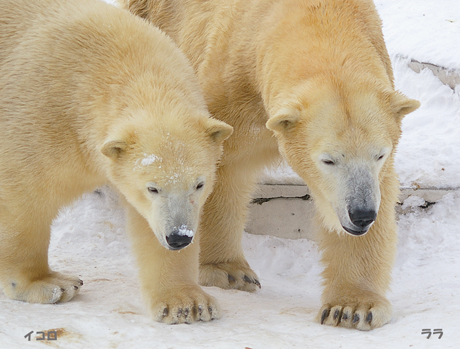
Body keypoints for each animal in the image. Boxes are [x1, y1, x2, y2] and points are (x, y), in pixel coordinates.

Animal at [0, 0, 234, 324]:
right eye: (152, 188)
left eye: (199, 184)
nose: (179, 237)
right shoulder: (38, 118)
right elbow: (24, 196)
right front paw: (50, 283)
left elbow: (147, 226)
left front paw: (187, 303)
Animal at [121, 0, 420, 328]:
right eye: (328, 159)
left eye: (379, 154)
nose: (362, 214)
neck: (319, 17)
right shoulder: (233, 88)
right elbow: (222, 164)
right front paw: (228, 271)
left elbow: (381, 190)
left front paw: (353, 307)